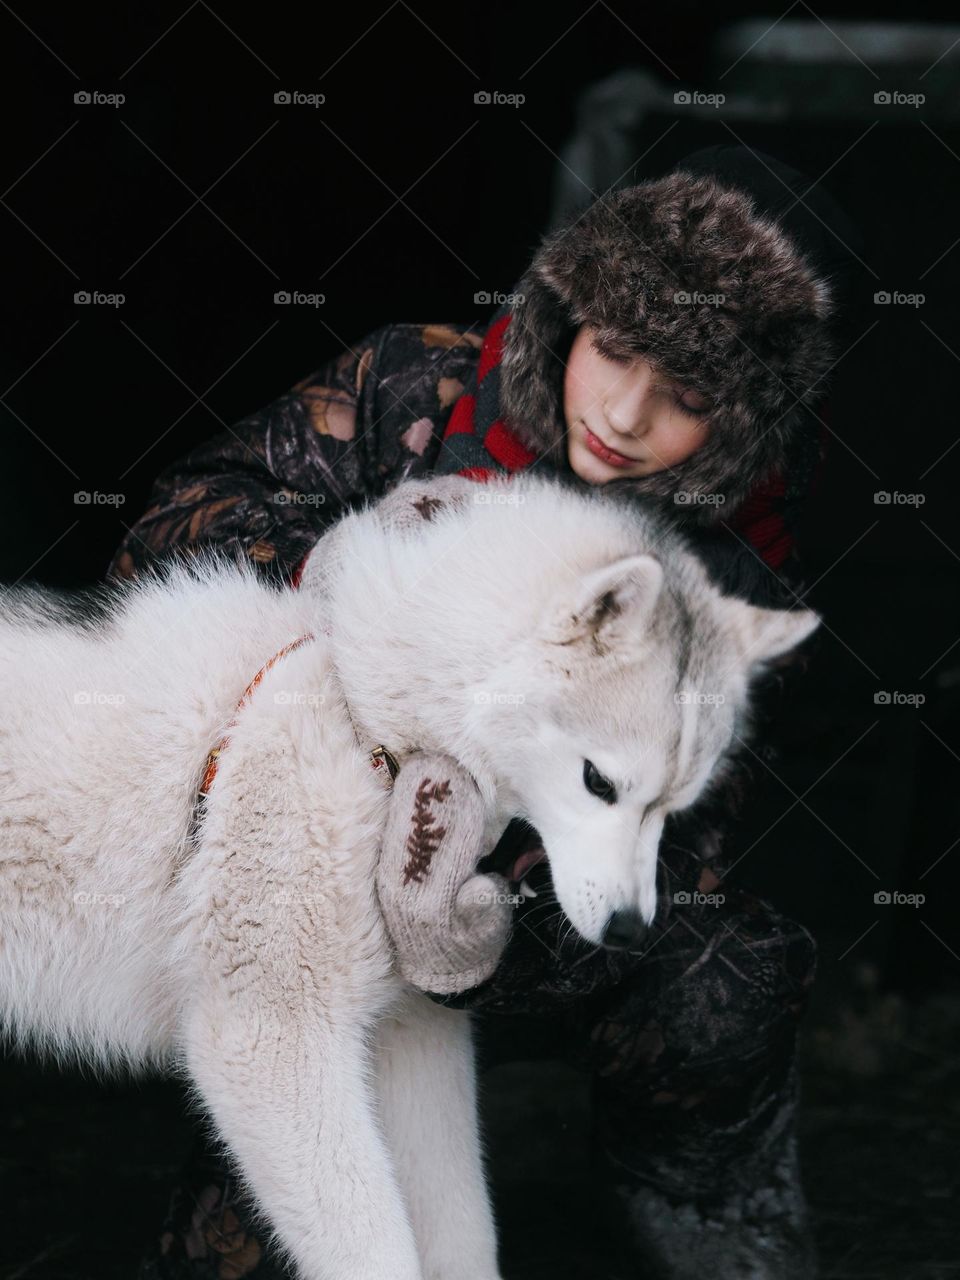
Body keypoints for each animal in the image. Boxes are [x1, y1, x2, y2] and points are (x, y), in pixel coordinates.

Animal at [0, 478, 819, 1280]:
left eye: (675, 805)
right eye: (599, 782)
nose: (630, 931)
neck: (371, 732)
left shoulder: (412, 1034)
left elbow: (462, 1236)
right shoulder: (270, 1040)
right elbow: (376, 1251)